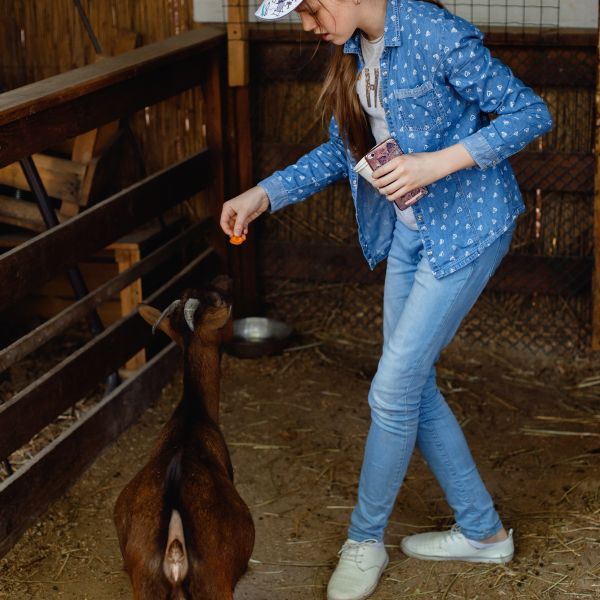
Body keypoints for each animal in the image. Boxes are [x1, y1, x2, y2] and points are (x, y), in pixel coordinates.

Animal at [114, 276, 255, 600]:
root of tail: (174, 557)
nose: (225, 278)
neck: (192, 414)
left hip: (145, 587)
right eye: (220, 299)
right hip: (215, 587)